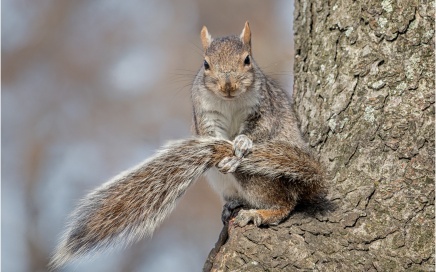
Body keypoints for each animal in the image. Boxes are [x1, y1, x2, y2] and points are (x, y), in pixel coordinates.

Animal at [49, 21, 326, 270]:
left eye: (247, 60)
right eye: (206, 64)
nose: (227, 85)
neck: (230, 101)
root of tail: (307, 183)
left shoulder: (264, 106)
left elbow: (262, 129)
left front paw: (242, 142)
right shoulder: (204, 111)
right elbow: (209, 133)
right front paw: (221, 147)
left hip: (264, 177)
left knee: (286, 202)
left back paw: (262, 211)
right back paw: (233, 203)